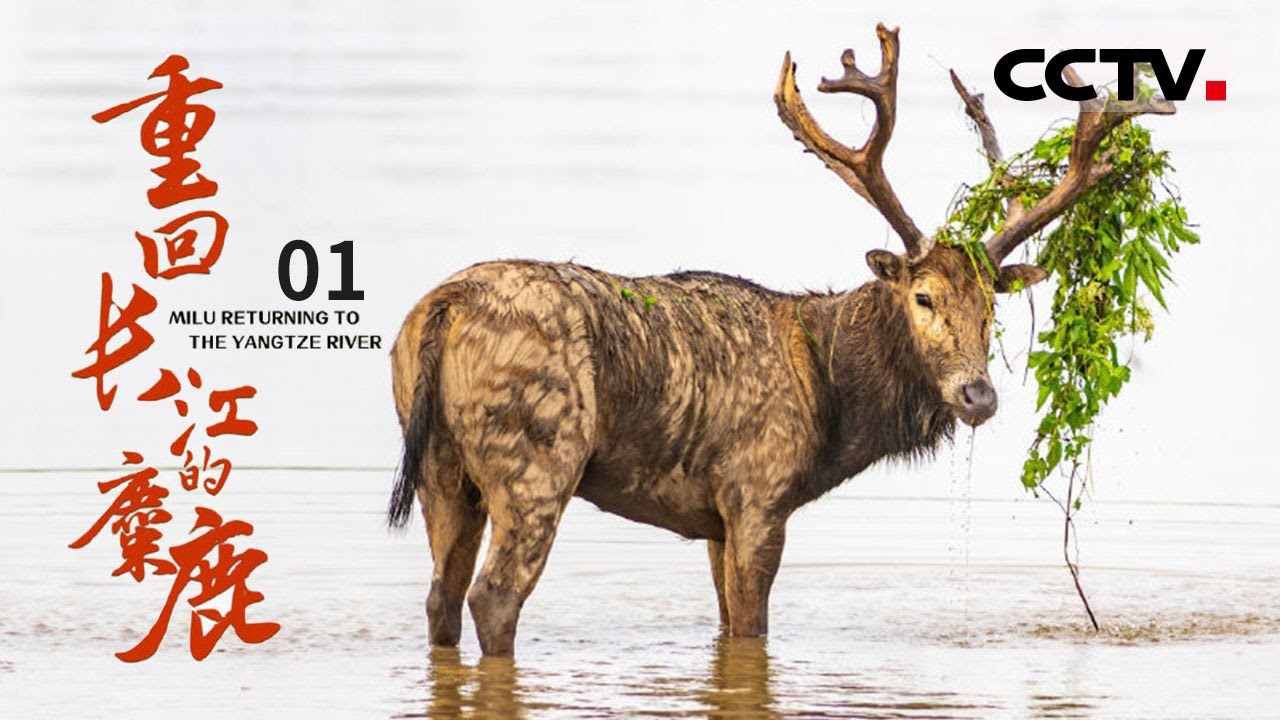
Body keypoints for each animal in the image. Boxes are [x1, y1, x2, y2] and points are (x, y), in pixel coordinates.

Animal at [387, 24, 1175, 656]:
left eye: (992, 309)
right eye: (923, 297)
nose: (977, 395)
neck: (833, 404)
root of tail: (445, 307)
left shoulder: (711, 519)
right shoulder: (758, 492)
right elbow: (750, 631)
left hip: (440, 471)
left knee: (440, 597)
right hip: (536, 456)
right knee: (494, 597)